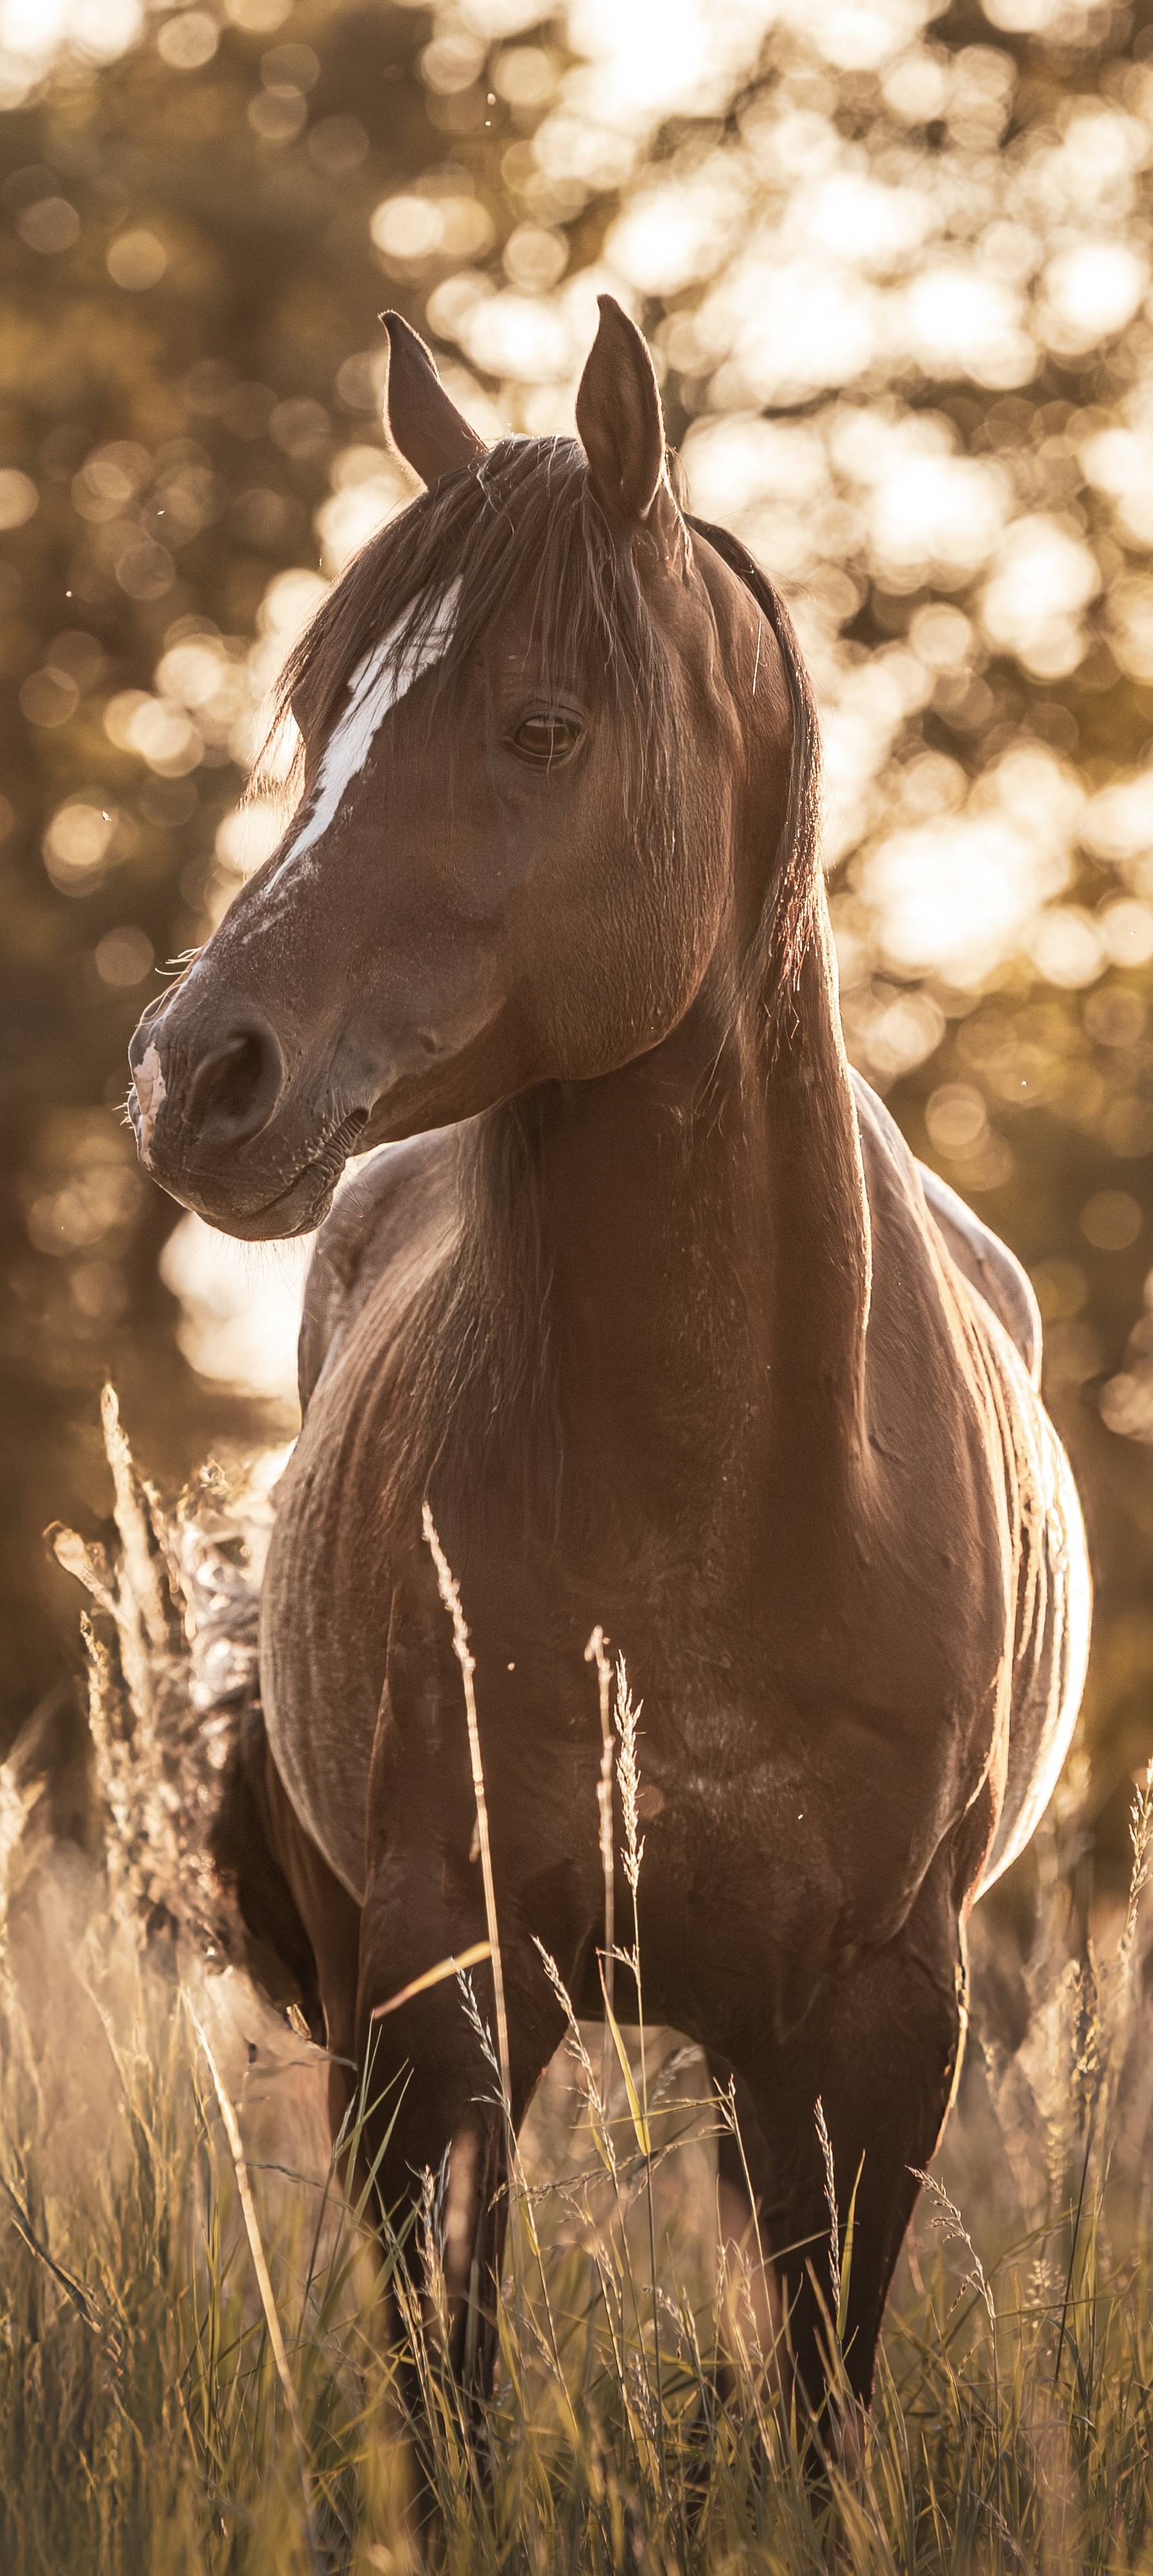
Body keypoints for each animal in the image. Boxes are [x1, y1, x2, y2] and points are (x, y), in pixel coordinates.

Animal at [128, 296, 1090, 2425]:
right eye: (325, 704)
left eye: (543, 726)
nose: (194, 1072)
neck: (710, 1496)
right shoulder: (445, 1991)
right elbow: (450, 2394)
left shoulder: (876, 2026)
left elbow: (818, 2395)